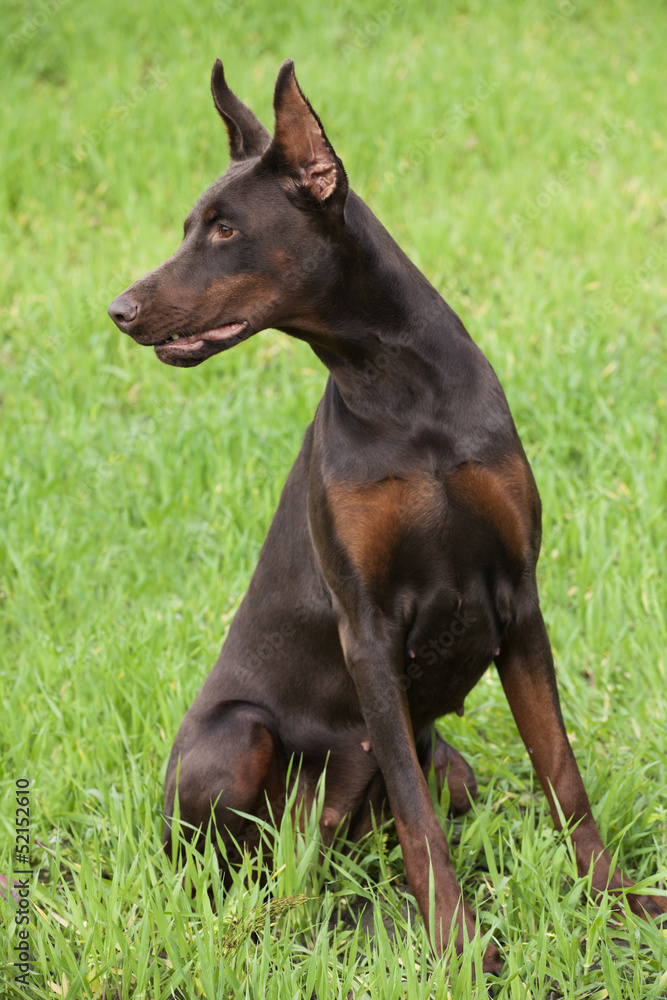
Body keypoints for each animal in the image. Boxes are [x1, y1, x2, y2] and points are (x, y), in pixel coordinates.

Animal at [107, 58, 664, 972]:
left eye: (223, 230)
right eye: (190, 226)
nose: (119, 309)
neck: (398, 388)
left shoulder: (519, 598)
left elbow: (561, 774)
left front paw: (613, 900)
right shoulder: (365, 625)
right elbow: (415, 814)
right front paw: (458, 945)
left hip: (450, 765)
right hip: (236, 738)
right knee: (235, 871)